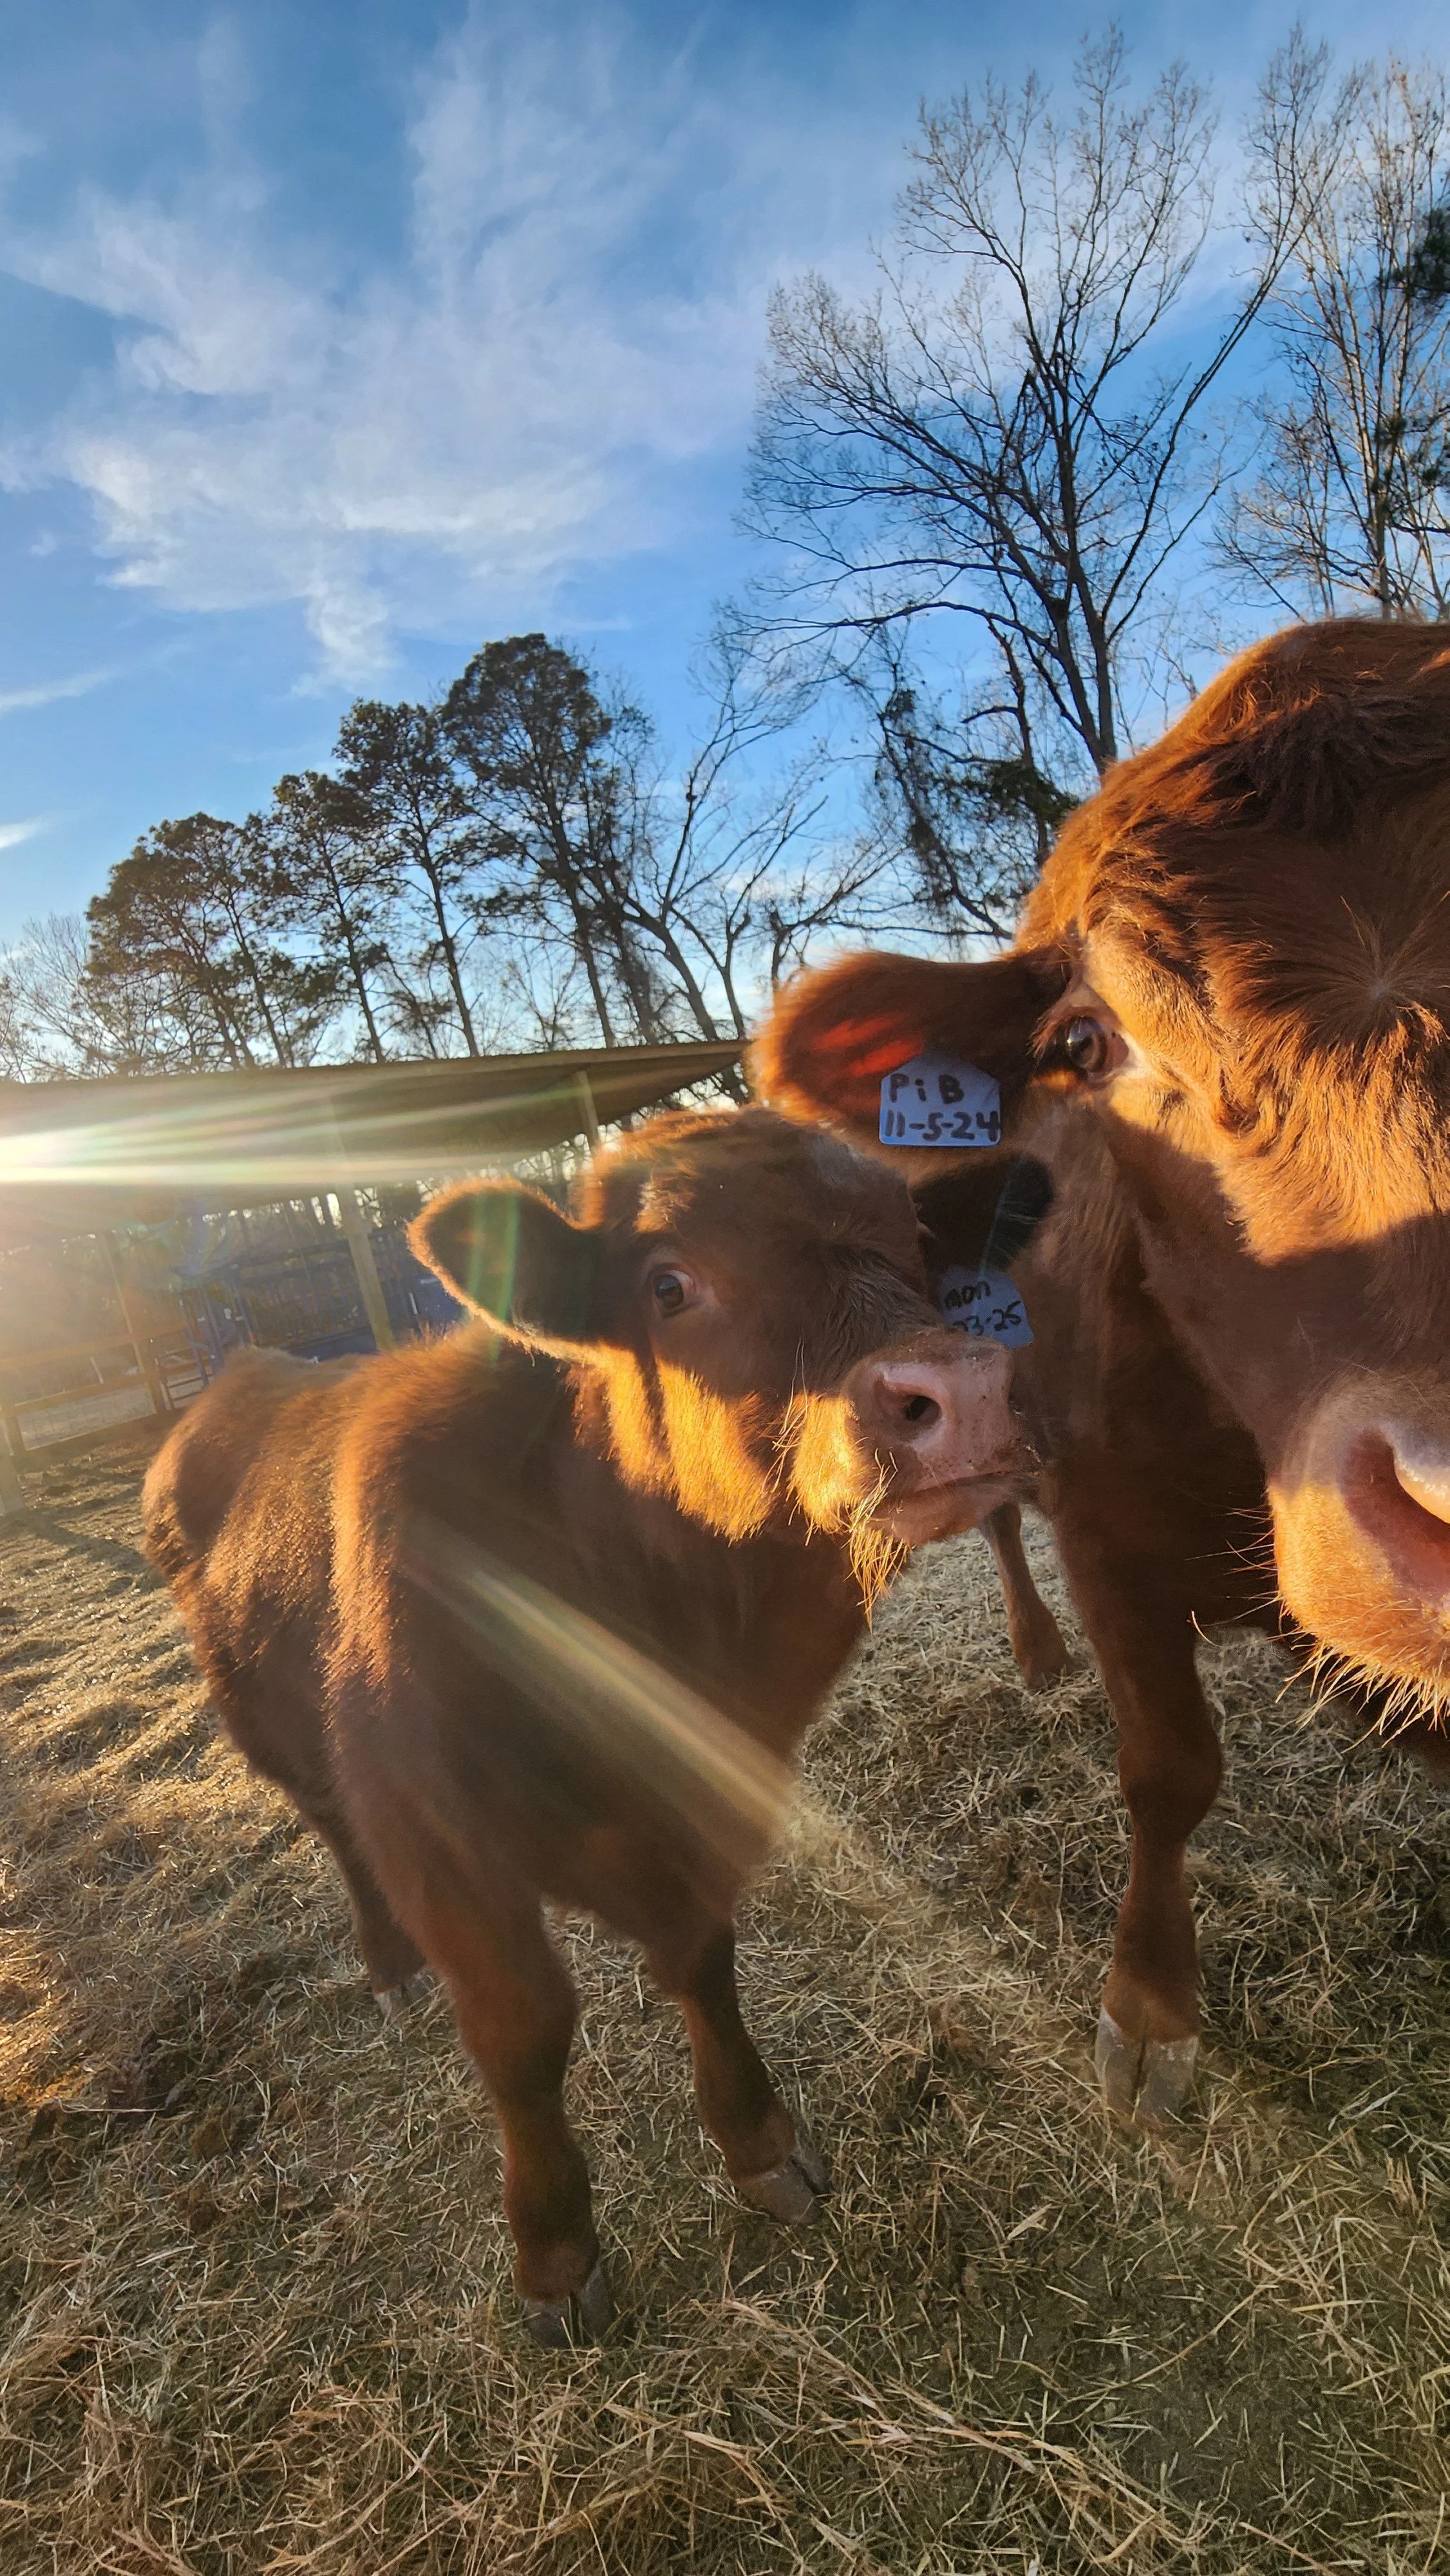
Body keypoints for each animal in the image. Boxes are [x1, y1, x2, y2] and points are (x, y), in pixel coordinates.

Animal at [142, 1107, 1048, 2342]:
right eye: (669, 1282)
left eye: (915, 1239)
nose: (958, 1395)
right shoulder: (440, 1844)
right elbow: (524, 2033)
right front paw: (555, 2248)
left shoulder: (707, 1802)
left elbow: (702, 1959)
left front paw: (757, 2141)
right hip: (275, 1737)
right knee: (334, 1836)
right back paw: (388, 1965)